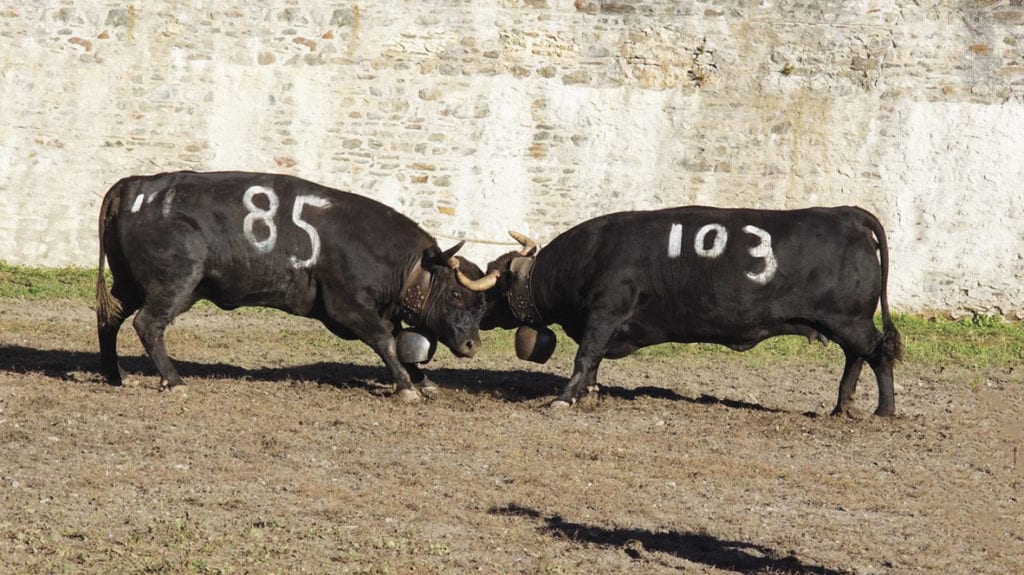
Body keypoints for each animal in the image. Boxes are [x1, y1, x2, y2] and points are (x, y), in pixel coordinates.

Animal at [92, 169, 499, 399]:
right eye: (456, 293)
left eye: (481, 306)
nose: (472, 345)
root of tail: (134, 188)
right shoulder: (348, 307)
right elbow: (385, 340)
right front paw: (405, 386)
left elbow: (401, 343)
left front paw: (422, 380)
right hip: (173, 285)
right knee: (148, 324)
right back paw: (174, 381)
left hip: (134, 284)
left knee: (109, 318)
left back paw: (116, 375)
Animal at [475, 203, 901, 413]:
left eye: (495, 287)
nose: (477, 313)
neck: (591, 254)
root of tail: (845, 213)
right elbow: (593, 363)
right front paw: (589, 394)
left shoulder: (605, 313)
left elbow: (585, 357)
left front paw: (564, 398)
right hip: (843, 322)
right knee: (856, 357)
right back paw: (842, 406)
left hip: (850, 320)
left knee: (878, 353)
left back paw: (883, 410)